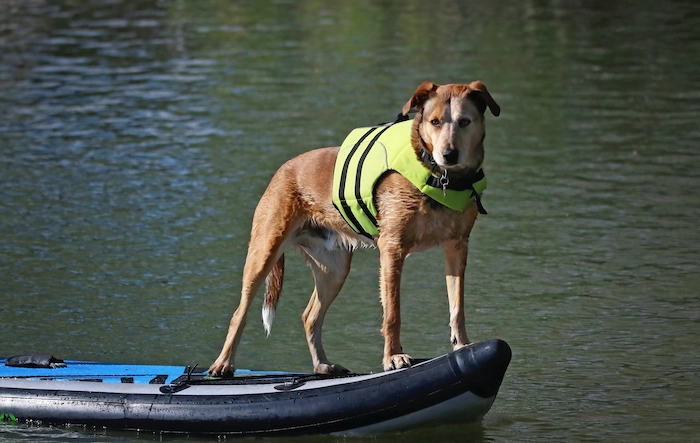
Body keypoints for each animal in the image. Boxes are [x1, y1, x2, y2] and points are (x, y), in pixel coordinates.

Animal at [208, 81, 498, 376]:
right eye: (435, 121)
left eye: (465, 121)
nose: (449, 155)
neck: (440, 176)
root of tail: (282, 170)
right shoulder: (392, 249)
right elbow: (392, 313)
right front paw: (393, 357)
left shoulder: (457, 246)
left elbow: (457, 305)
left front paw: (462, 345)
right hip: (264, 252)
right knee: (239, 314)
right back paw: (223, 364)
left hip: (333, 269)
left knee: (310, 317)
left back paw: (323, 365)